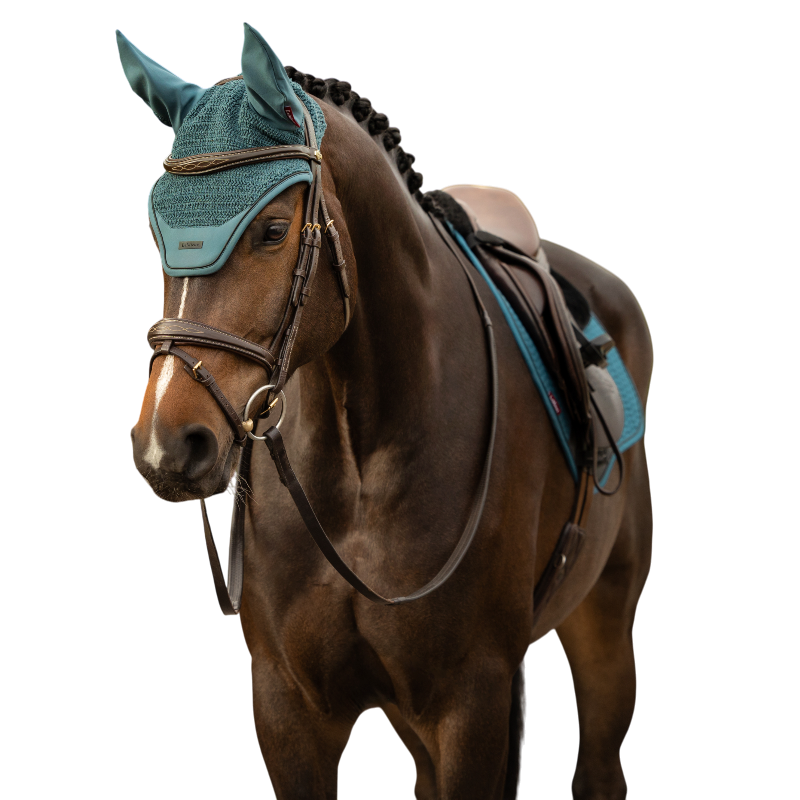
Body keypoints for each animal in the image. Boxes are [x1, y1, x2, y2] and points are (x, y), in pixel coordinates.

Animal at [123, 23, 653, 800]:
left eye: (273, 230)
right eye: (157, 229)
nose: (168, 444)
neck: (359, 461)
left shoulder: (473, 702)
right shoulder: (288, 708)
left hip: (603, 622)